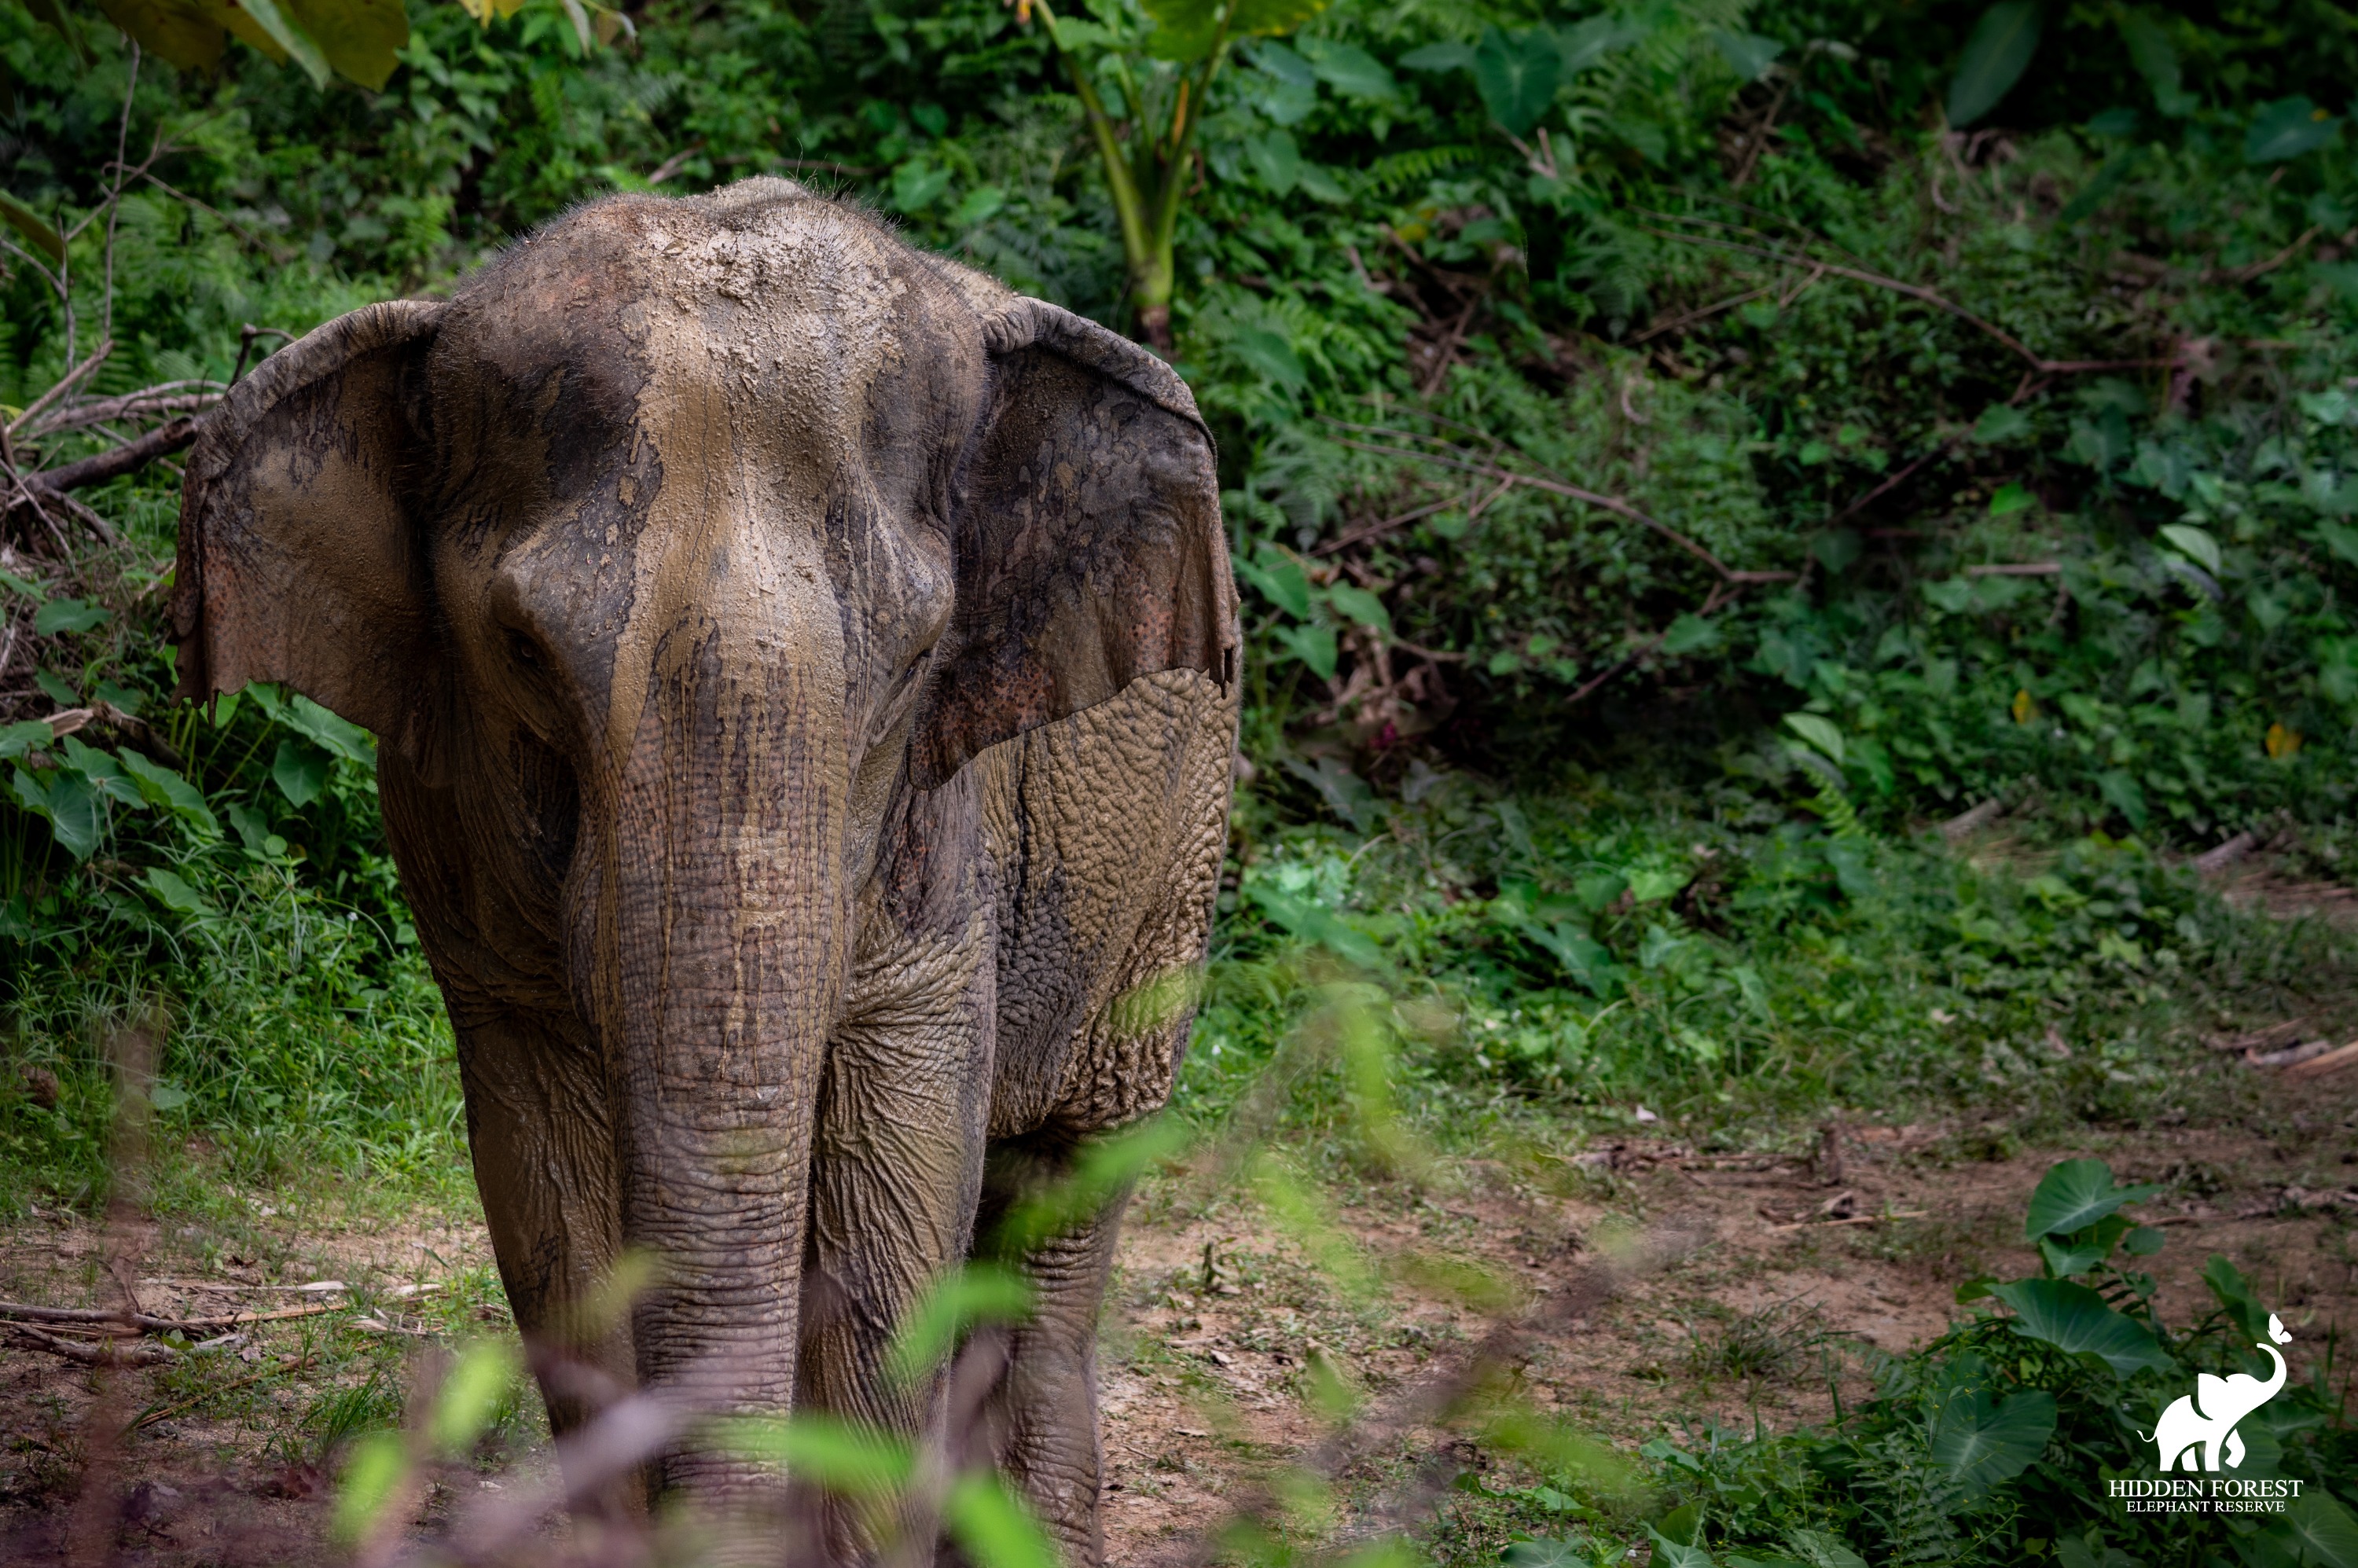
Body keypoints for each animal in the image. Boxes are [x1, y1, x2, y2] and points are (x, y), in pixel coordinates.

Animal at [172, 180, 1245, 1556]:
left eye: (920, 654)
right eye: (521, 648)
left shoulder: (941, 828)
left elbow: (898, 1198)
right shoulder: (454, 840)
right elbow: (549, 1199)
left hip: (1178, 854)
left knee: (1063, 1196)